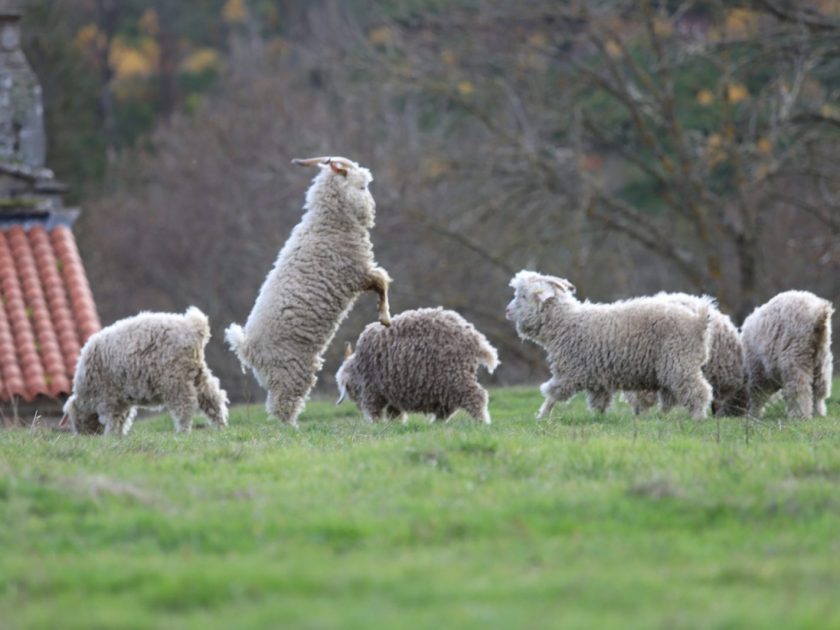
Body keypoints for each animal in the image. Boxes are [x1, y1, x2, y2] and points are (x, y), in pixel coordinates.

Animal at [225, 157, 392, 430]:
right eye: (363, 187)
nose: (374, 208)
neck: (326, 224)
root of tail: (247, 348)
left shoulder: (360, 273)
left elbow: (382, 282)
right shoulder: (358, 273)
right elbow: (382, 282)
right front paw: (385, 317)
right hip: (290, 370)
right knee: (282, 405)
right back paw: (291, 429)